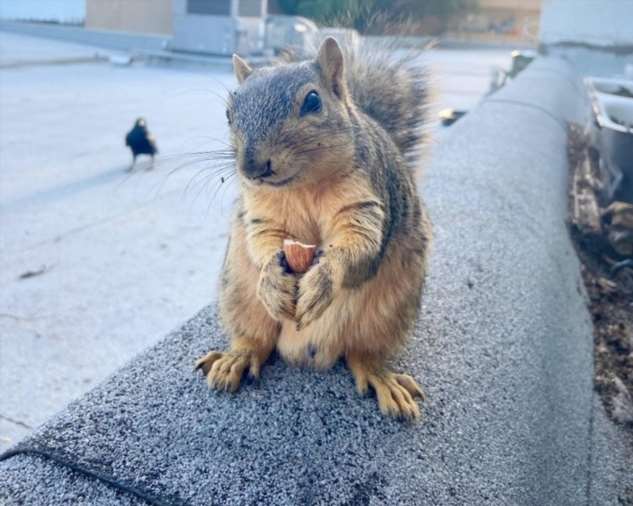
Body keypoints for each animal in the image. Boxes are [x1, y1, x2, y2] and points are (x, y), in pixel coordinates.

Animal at [195, 36, 432, 420]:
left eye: (312, 101)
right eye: (229, 113)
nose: (251, 167)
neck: (302, 186)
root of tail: (305, 349)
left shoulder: (366, 202)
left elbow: (359, 244)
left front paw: (323, 279)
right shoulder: (261, 213)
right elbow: (262, 241)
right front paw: (271, 278)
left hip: (387, 313)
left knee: (361, 354)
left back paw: (381, 377)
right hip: (240, 295)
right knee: (257, 339)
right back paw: (238, 356)